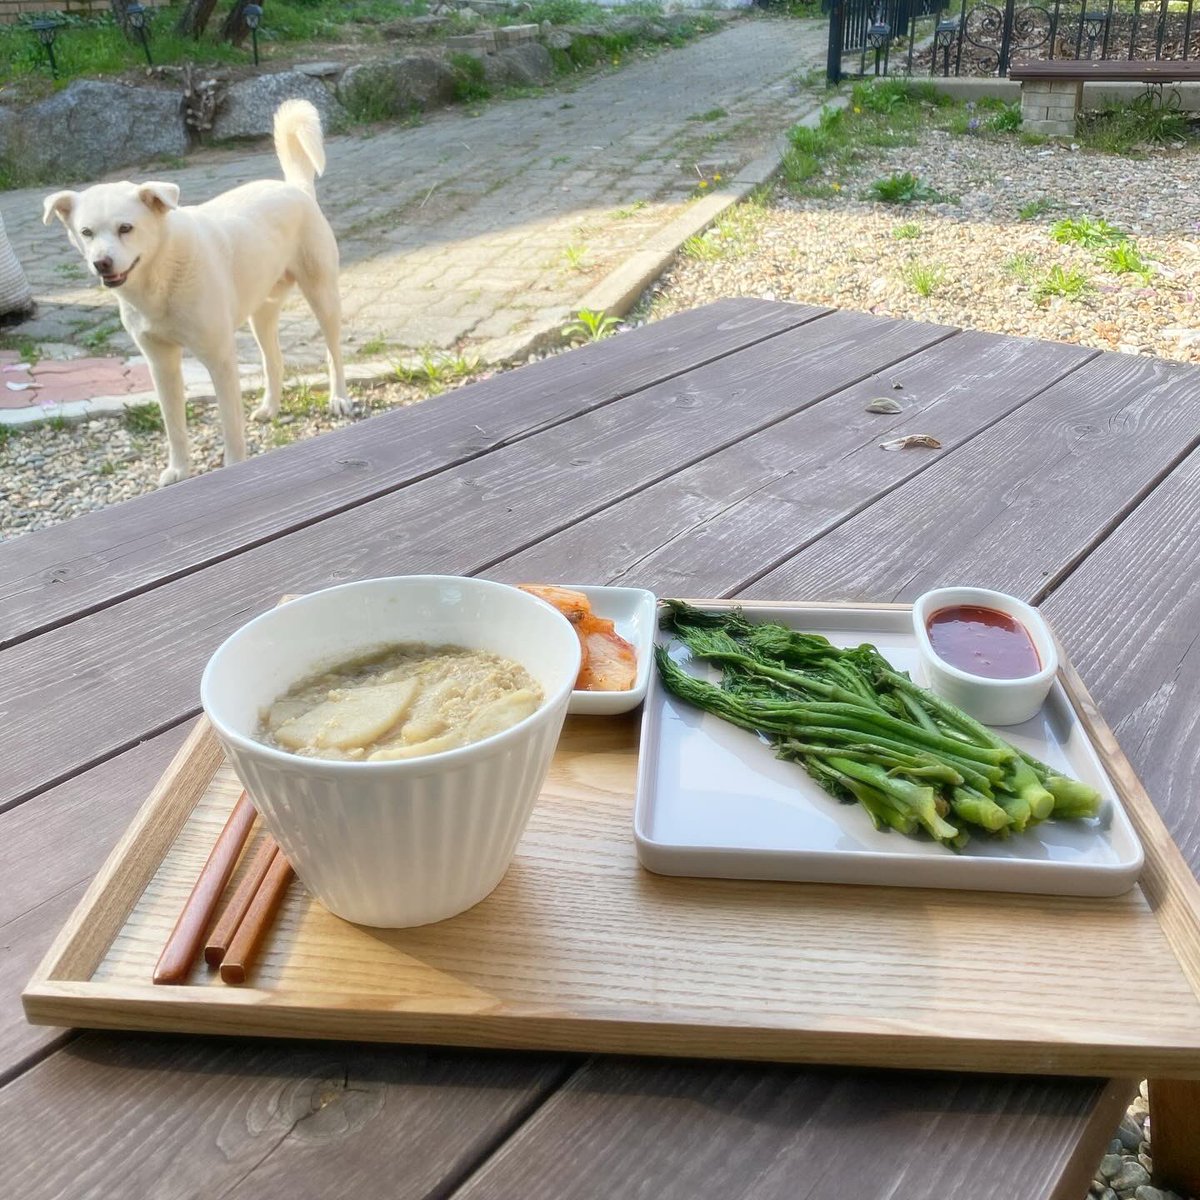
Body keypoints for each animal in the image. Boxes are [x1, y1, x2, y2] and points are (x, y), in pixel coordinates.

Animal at [42, 98, 350, 482]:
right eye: (86, 232)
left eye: (126, 228)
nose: (102, 263)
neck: (161, 273)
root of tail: (295, 188)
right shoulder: (160, 364)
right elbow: (174, 426)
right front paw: (178, 470)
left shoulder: (219, 359)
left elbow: (231, 427)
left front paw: (233, 467)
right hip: (261, 312)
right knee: (273, 361)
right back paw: (270, 407)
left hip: (322, 296)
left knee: (333, 353)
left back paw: (339, 398)